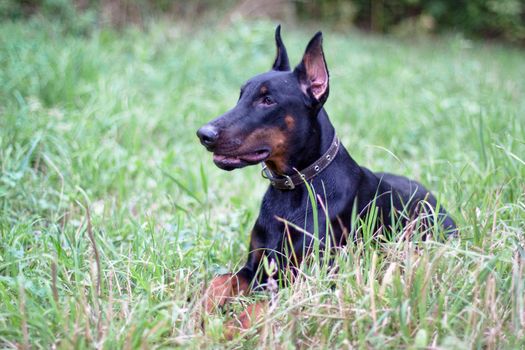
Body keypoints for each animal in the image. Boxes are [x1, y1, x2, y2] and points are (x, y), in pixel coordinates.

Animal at [196, 26, 454, 334]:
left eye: (267, 100)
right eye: (241, 95)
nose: (204, 134)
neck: (294, 188)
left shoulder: (312, 277)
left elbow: (262, 304)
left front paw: (227, 328)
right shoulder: (255, 265)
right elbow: (219, 281)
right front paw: (195, 314)